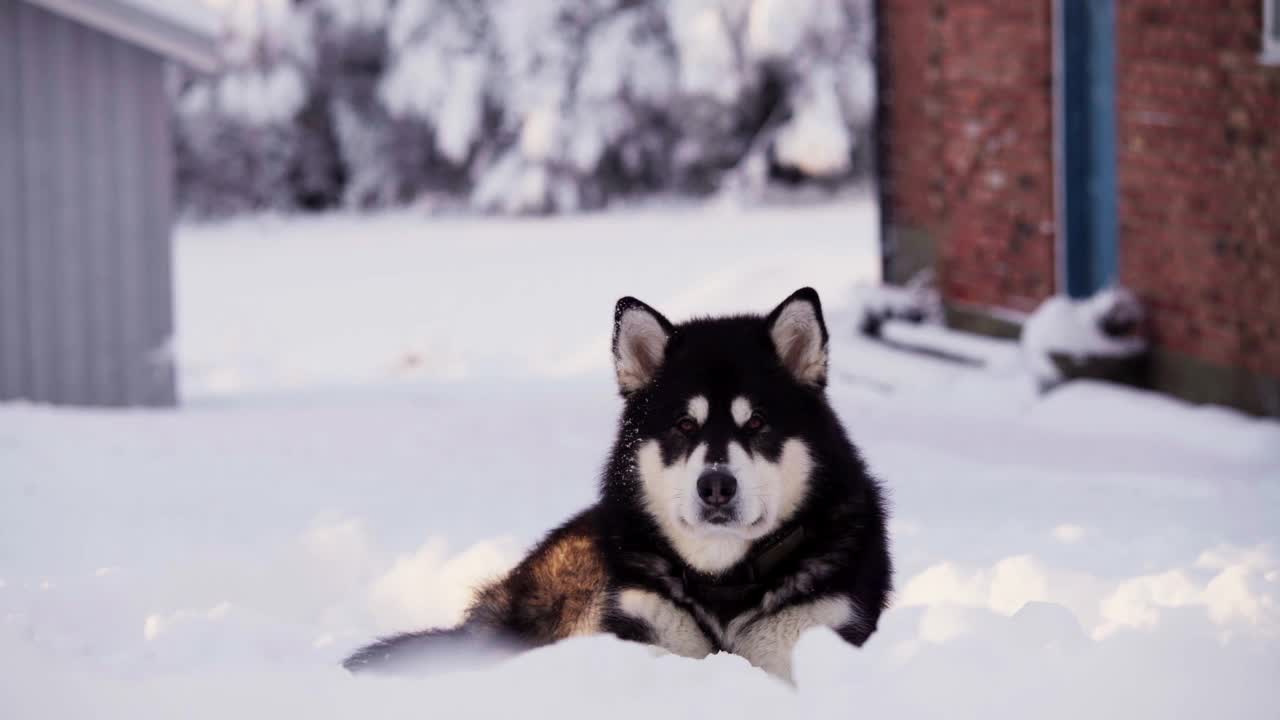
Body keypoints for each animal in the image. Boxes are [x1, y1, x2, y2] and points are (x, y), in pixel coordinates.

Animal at [345, 286, 896, 676]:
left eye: (756, 422)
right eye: (684, 425)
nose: (716, 486)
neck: (723, 583)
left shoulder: (816, 626)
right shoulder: (640, 621)